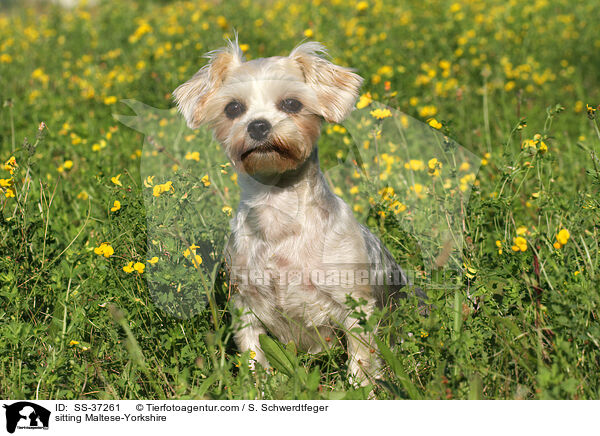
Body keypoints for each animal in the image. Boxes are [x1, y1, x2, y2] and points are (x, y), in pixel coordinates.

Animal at [173, 39, 412, 384]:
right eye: (233, 108)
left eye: (291, 103)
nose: (259, 125)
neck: (278, 214)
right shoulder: (246, 306)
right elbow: (254, 361)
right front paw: (257, 389)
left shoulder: (356, 307)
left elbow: (361, 365)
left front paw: (361, 389)